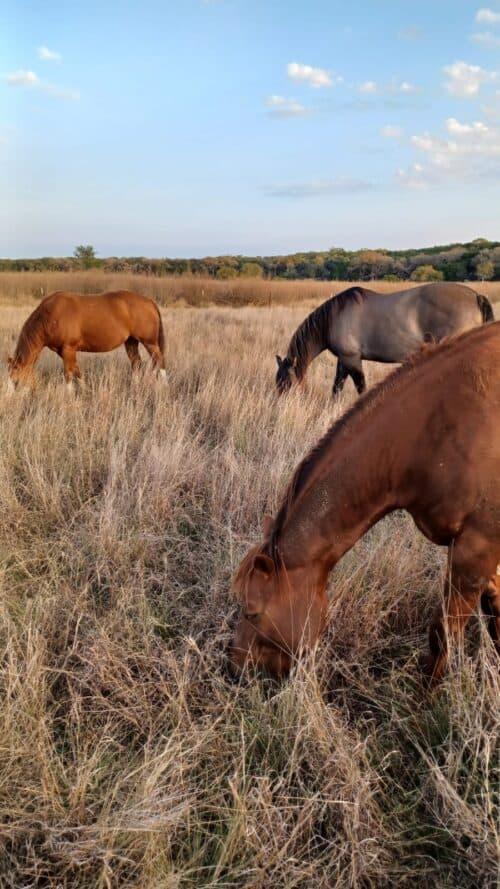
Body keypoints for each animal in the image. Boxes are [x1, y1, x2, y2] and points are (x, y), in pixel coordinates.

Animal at [7, 290, 166, 389]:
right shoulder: (63, 351)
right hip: (131, 342)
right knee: (136, 363)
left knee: (159, 361)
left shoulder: (68, 349)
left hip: (150, 343)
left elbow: (68, 375)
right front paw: (85, 390)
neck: (51, 316)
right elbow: (77, 372)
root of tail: (149, 302)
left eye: (15, 381)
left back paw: (163, 385)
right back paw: (135, 386)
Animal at [275, 282, 494, 397]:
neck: (334, 317)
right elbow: (337, 387)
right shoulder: (344, 360)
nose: (279, 407)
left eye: (285, 383)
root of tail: (475, 296)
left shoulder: (352, 359)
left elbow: (360, 387)